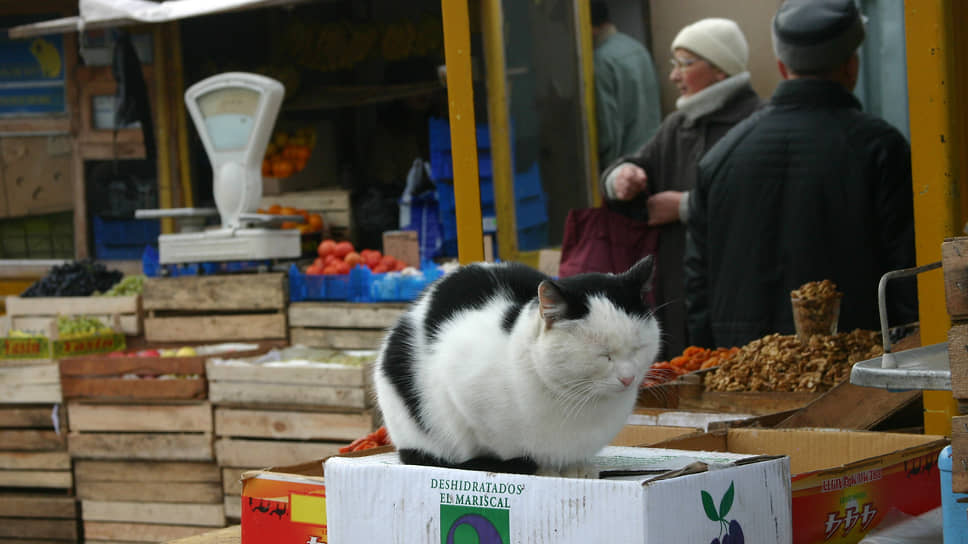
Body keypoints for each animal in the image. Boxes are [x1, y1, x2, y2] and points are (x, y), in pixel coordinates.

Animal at [370, 258, 656, 474]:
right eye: (604, 355)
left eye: (637, 348)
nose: (628, 378)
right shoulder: (460, 384)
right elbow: (499, 446)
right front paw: (539, 468)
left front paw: (575, 467)